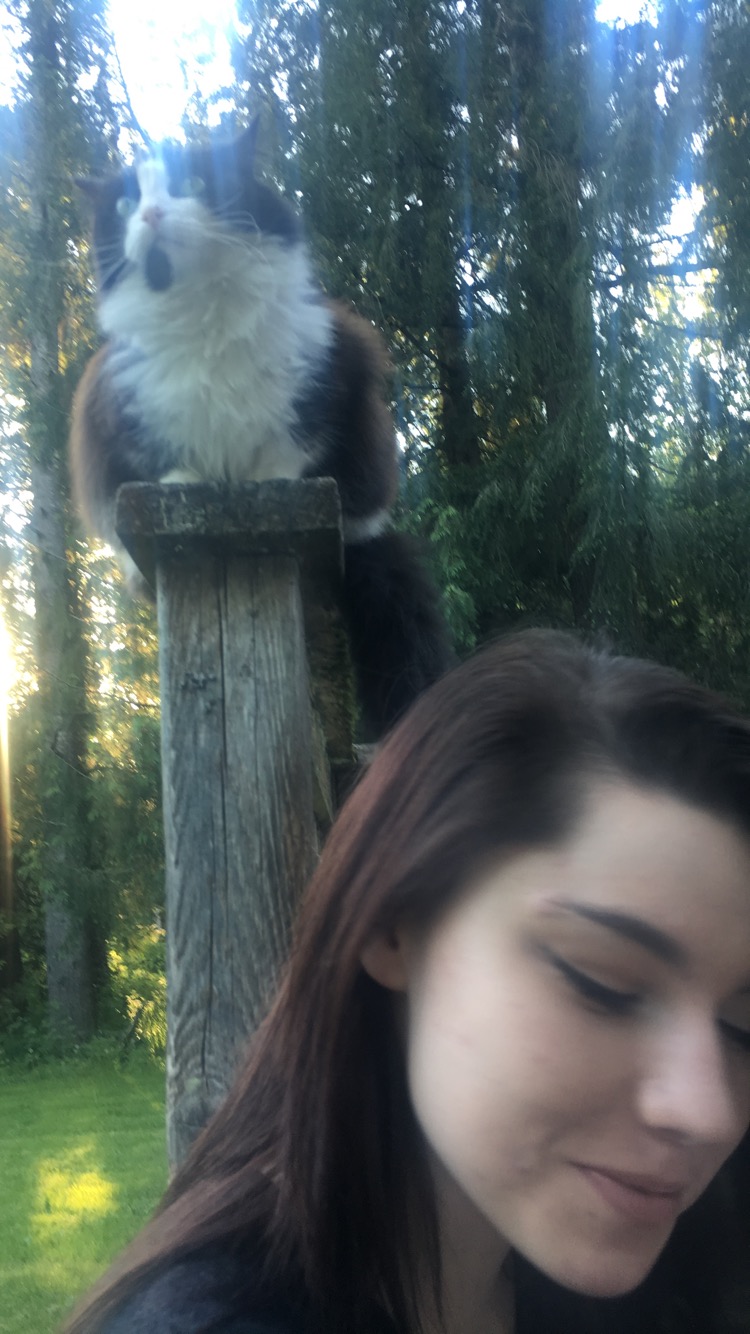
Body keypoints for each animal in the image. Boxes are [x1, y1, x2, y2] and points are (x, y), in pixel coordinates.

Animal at [69, 121, 453, 737]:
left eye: (194, 183)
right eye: (126, 205)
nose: (150, 214)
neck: (201, 316)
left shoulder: (335, 369)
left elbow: (289, 449)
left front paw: (269, 483)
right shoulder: (110, 408)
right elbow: (162, 462)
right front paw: (184, 485)